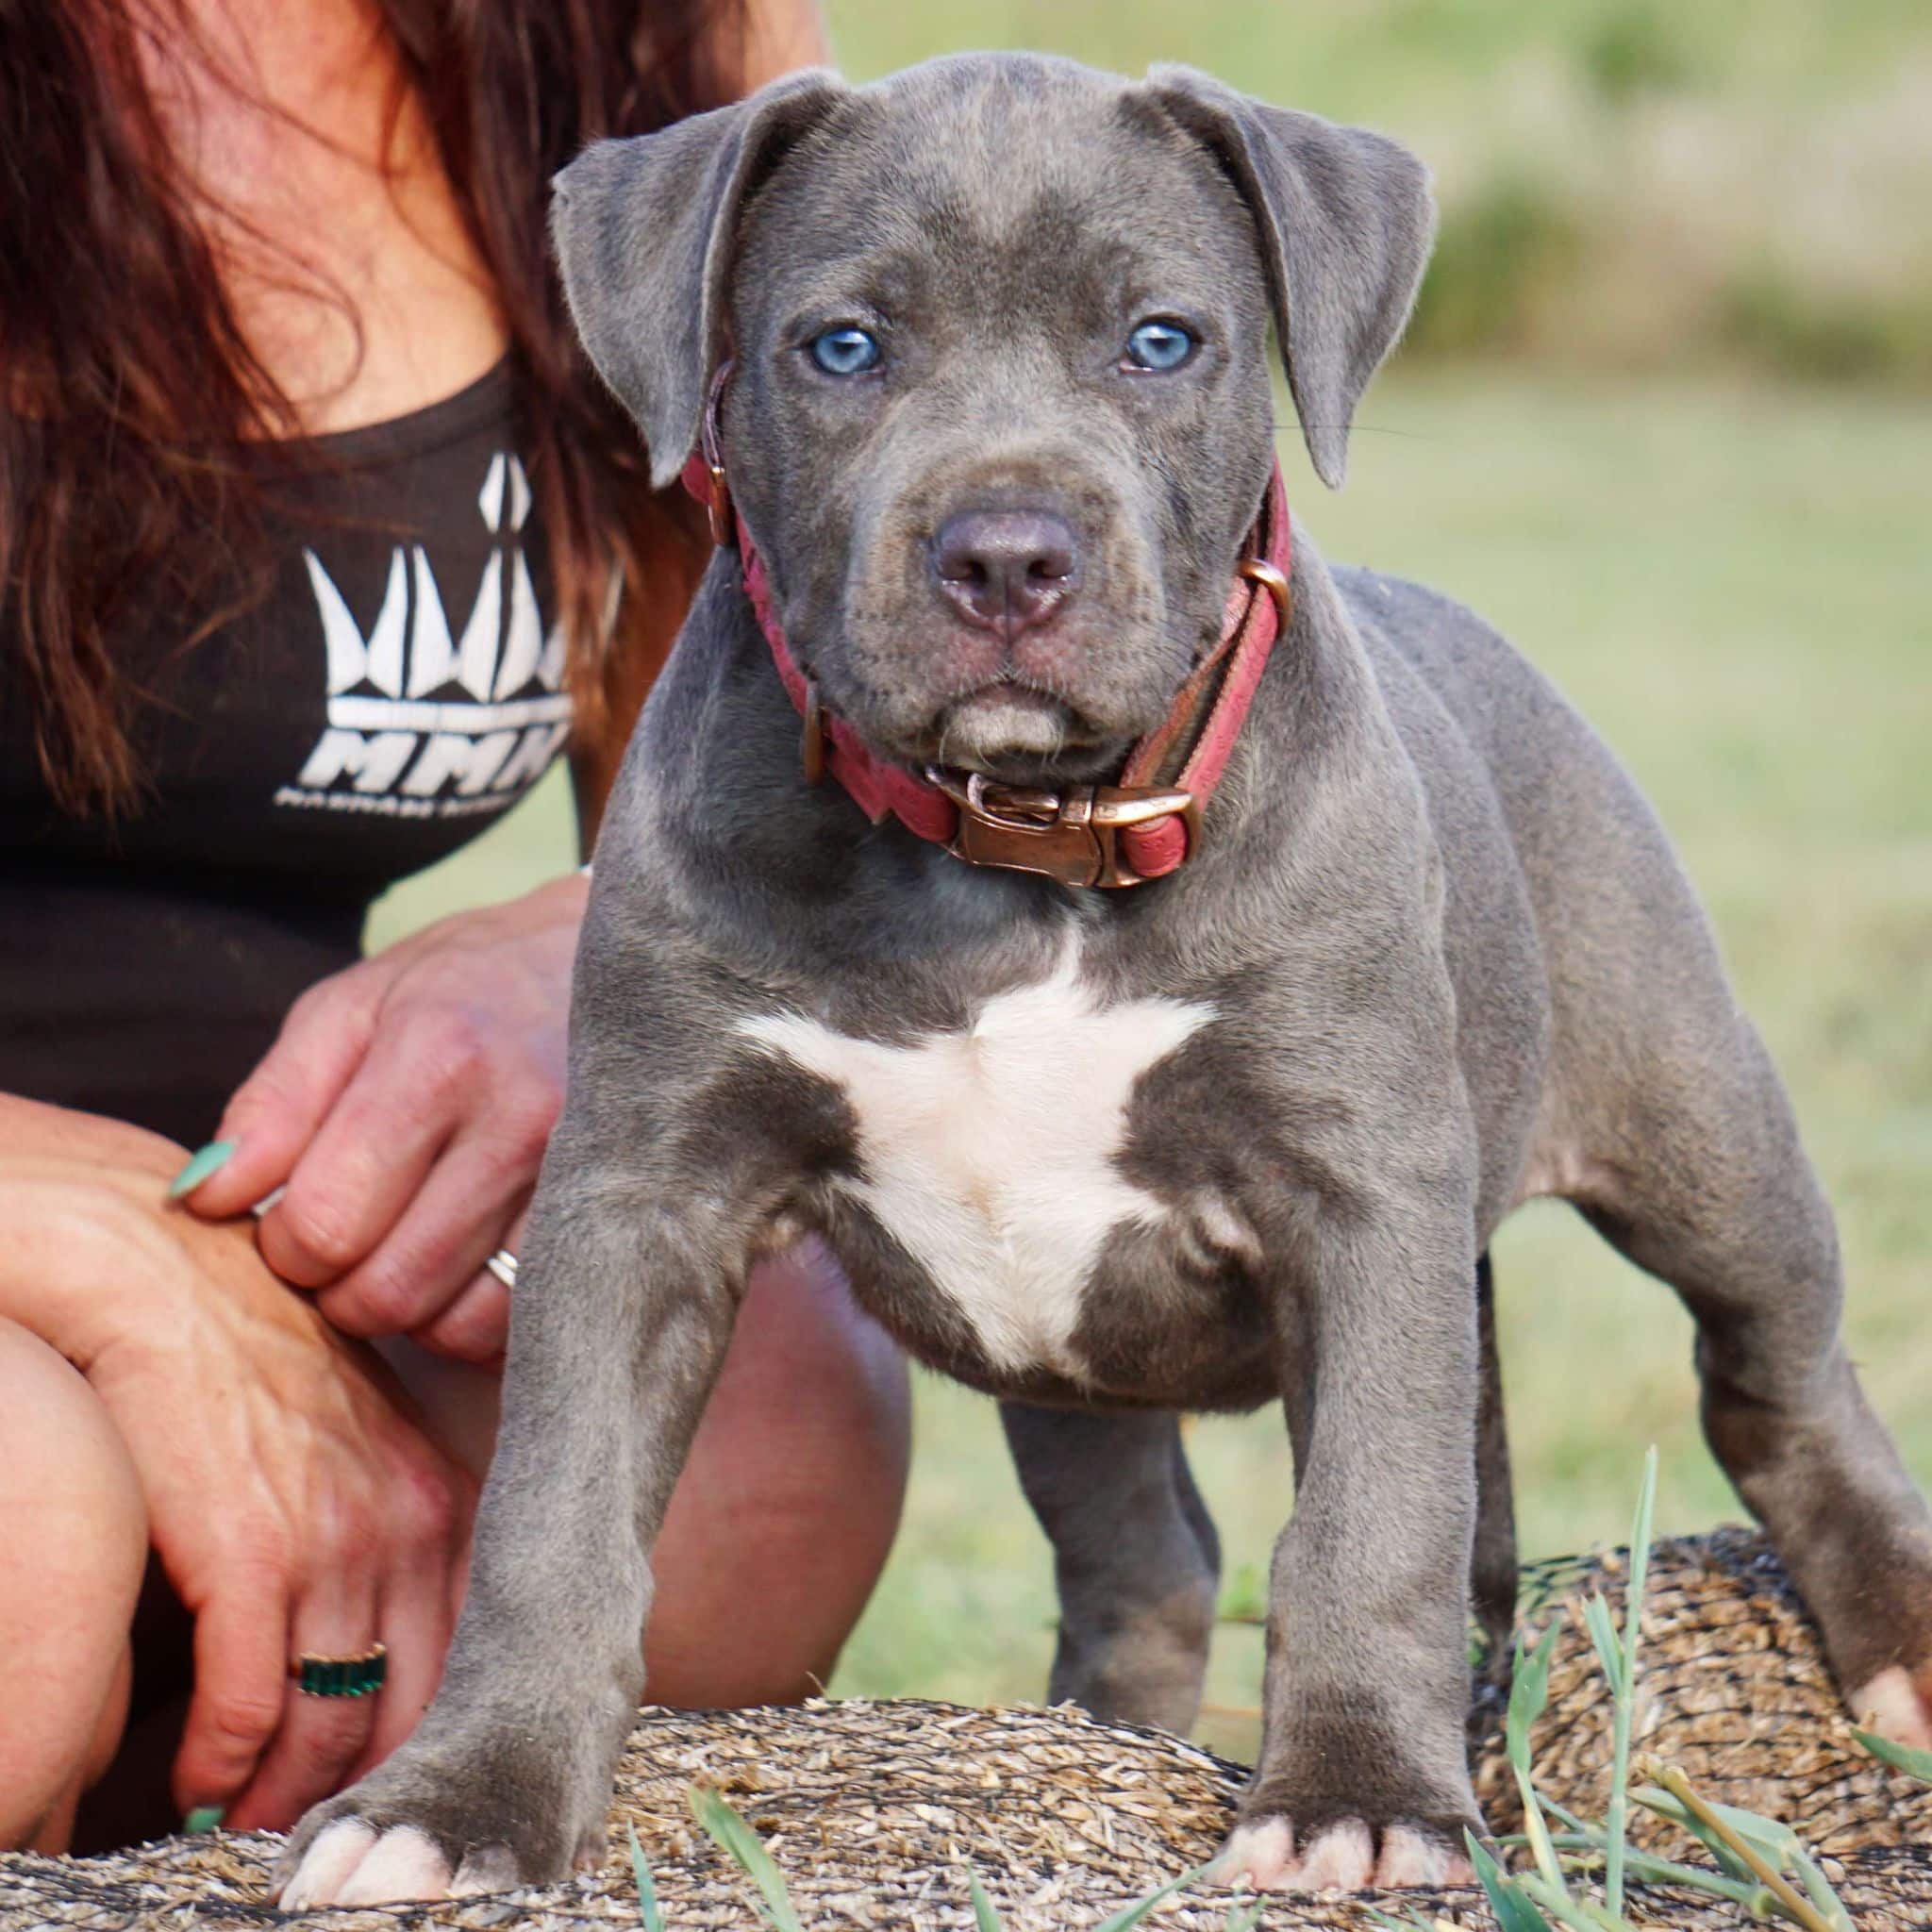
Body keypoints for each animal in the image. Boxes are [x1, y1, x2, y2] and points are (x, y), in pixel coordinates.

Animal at [279, 53, 1932, 1908]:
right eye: (840, 346)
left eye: (1161, 341)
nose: (1007, 554)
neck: (1019, 854)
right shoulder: (640, 1189)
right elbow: (551, 1510)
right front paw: (457, 1802)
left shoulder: (1360, 1188)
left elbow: (1370, 1518)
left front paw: (1359, 1796)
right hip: (1075, 1366)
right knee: (1156, 1552)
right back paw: (1105, 1738)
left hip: (1694, 1124)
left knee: (1778, 1372)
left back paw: (1893, 1651)